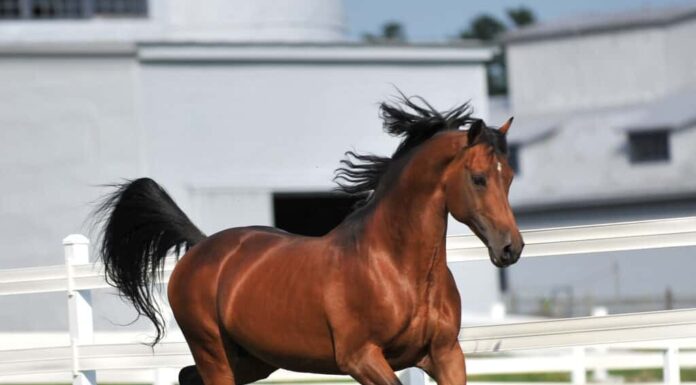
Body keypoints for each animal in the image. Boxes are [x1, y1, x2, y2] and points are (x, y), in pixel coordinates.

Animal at [95, 95, 524, 384]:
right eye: (478, 178)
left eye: (509, 177)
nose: (511, 248)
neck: (396, 269)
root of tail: (201, 246)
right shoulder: (361, 358)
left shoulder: (445, 354)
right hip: (213, 352)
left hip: (254, 359)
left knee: (187, 376)